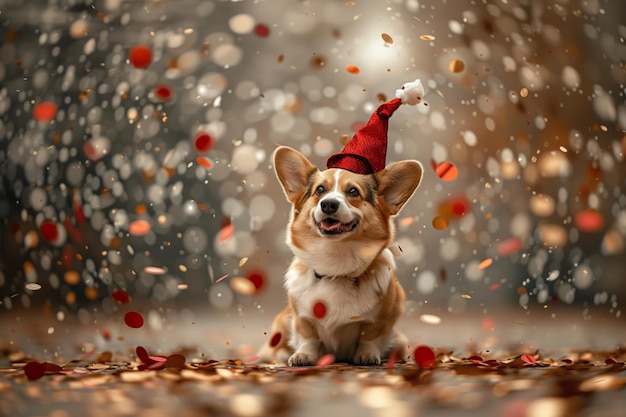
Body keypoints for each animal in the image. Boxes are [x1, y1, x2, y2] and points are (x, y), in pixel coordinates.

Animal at [256, 146, 422, 364]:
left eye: (353, 191)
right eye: (320, 190)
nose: (328, 204)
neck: (335, 265)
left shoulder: (381, 320)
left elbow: (370, 336)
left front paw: (367, 355)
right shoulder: (301, 317)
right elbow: (308, 336)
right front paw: (303, 355)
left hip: (399, 342)